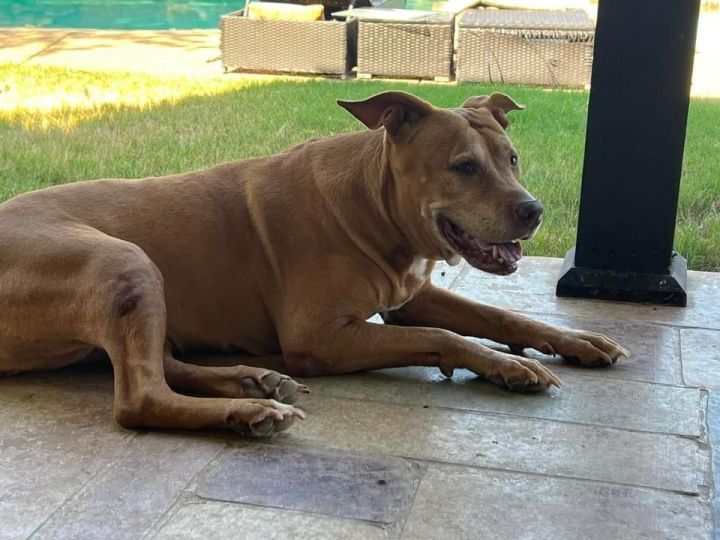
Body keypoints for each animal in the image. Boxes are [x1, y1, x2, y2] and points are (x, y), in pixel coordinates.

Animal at [0, 93, 628, 436]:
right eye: (464, 167)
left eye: (512, 158)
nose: (533, 211)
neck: (372, 206)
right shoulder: (322, 338)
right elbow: (444, 335)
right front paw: (505, 365)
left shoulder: (411, 295)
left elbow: (499, 316)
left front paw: (572, 340)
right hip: (122, 260)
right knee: (138, 396)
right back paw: (248, 408)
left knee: (158, 362)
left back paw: (254, 379)